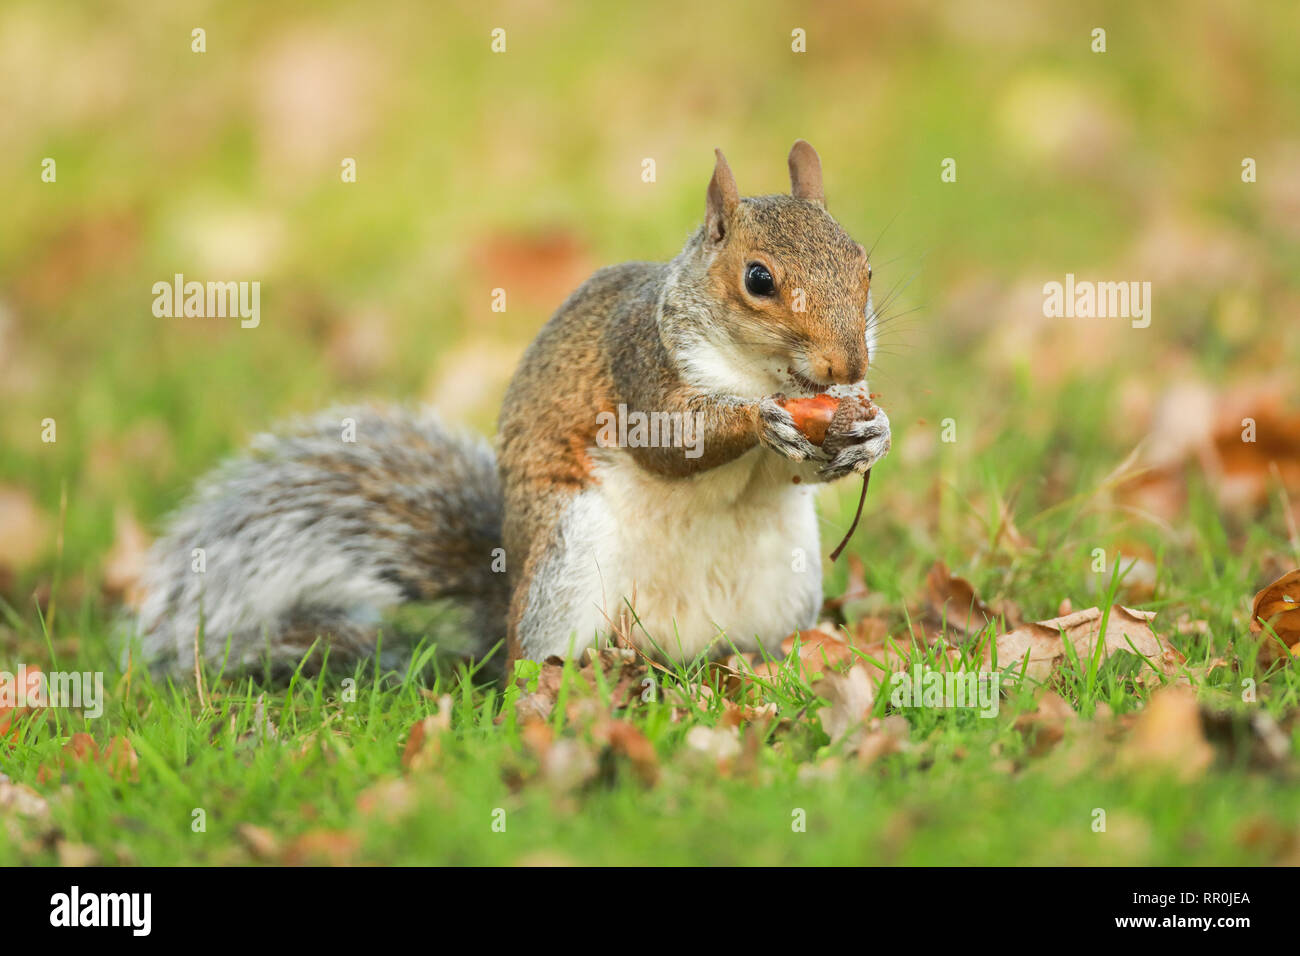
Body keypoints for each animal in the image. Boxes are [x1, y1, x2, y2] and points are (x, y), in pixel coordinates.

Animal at [132, 141, 892, 678]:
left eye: (864, 266)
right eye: (758, 280)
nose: (850, 367)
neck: (758, 368)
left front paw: (870, 433)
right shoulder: (638, 359)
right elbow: (672, 442)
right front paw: (760, 416)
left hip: (786, 581)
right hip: (571, 556)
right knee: (531, 665)